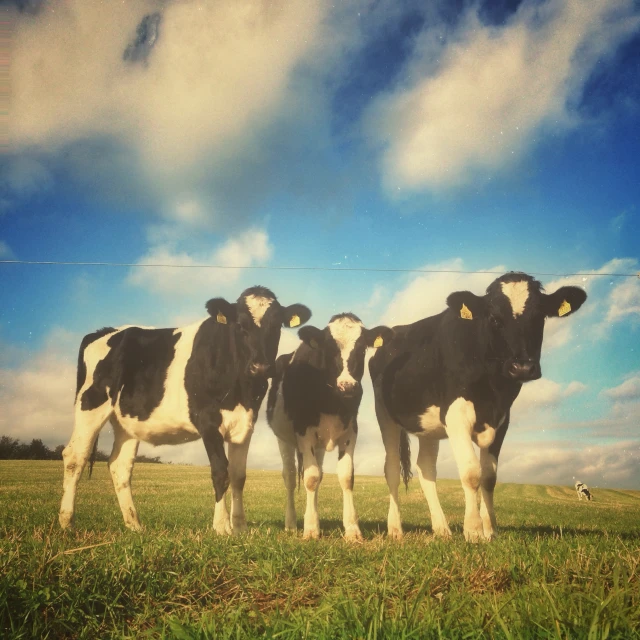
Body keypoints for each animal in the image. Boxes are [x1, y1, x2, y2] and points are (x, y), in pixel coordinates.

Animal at [59, 288, 310, 532]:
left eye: (276, 325)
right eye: (240, 325)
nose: (261, 367)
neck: (240, 388)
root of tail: (105, 332)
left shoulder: (245, 424)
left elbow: (238, 476)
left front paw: (240, 528)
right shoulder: (207, 421)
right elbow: (220, 471)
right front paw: (221, 527)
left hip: (126, 422)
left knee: (119, 465)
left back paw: (135, 525)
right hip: (90, 405)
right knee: (75, 457)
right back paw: (67, 522)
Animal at [266, 314, 396, 540]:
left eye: (362, 348)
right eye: (328, 348)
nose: (347, 386)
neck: (332, 400)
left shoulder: (350, 431)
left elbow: (345, 476)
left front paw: (352, 529)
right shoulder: (304, 432)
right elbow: (310, 478)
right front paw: (310, 529)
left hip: (318, 445)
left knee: (317, 473)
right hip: (283, 438)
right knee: (290, 477)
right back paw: (291, 524)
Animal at [368, 272, 588, 544]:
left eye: (540, 317)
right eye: (494, 318)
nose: (523, 367)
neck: (493, 389)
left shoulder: (502, 420)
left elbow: (489, 477)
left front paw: (490, 529)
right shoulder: (456, 416)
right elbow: (472, 473)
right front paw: (473, 530)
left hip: (429, 427)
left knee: (426, 469)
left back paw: (441, 528)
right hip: (385, 415)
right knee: (391, 468)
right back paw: (396, 528)